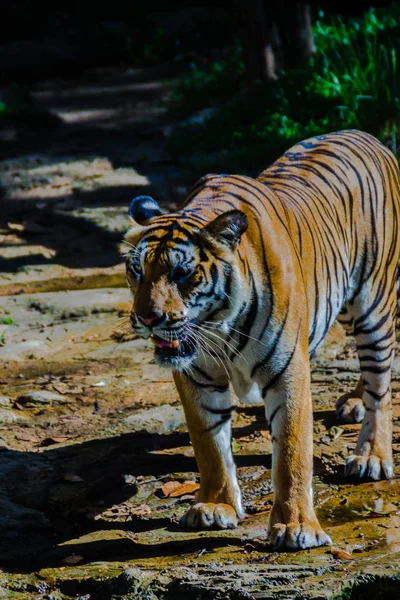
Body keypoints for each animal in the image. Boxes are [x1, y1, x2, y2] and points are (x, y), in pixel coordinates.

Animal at [122, 130, 400, 548]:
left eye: (182, 273)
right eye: (136, 270)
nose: (146, 318)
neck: (217, 328)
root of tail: (368, 136)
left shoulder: (287, 371)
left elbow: (291, 453)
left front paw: (298, 527)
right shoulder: (196, 375)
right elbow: (209, 444)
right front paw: (214, 507)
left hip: (373, 304)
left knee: (380, 384)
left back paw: (372, 456)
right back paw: (354, 401)